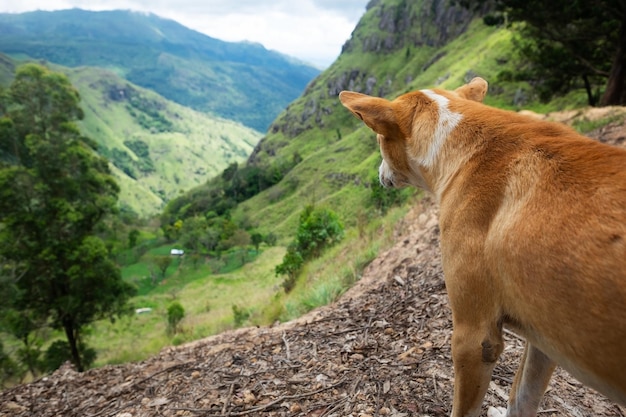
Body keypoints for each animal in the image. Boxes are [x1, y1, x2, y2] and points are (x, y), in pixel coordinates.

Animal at [342, 77, 624, 412]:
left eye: (378, 141)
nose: (378, 174)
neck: (461, 146)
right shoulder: (546, 340)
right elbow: (522, 398)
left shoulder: (474, 339)